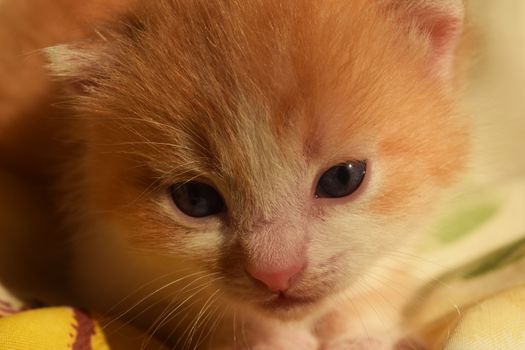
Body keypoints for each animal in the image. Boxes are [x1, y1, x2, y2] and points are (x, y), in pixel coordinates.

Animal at [1, 0, 466, 348]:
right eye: (195, 199)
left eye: (342, 179)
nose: (276, 273)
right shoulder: (103, 264)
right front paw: (265, 338)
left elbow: (381, 280)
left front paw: (362, 335)